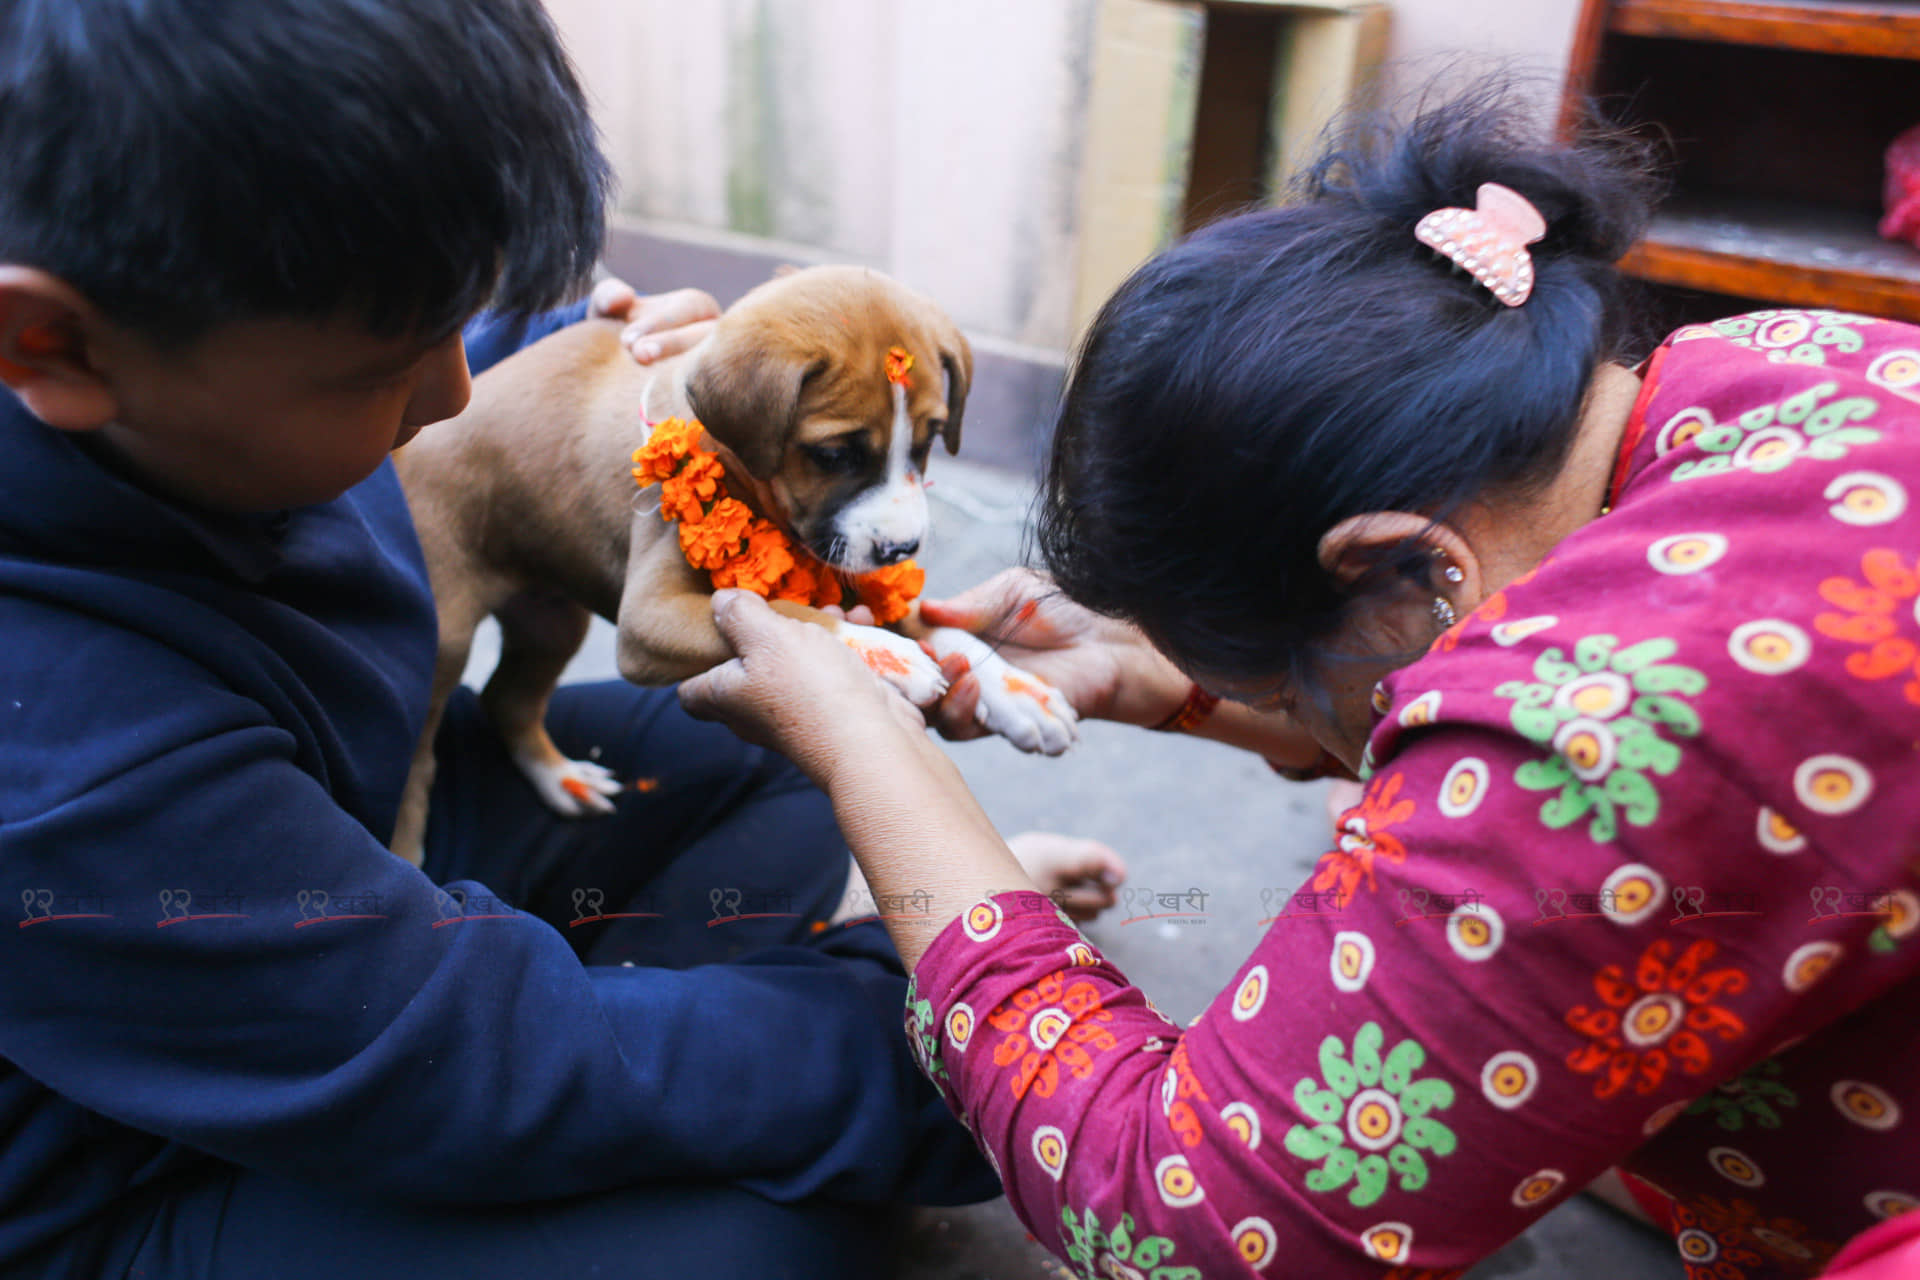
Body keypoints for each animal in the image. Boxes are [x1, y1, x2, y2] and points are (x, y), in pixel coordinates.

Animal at [389, 264, 1082, 867]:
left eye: (931, 437)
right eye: (834, 454)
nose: (901, 550)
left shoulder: (849, 565)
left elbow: (933, 622)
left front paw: (1017, 690)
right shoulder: (650, 619)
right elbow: (789, 610)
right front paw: (885, 654)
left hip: (552, 620)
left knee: (508, 698)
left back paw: (561, 779)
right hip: (446, 635)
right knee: (417, 752)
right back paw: (406, 847)